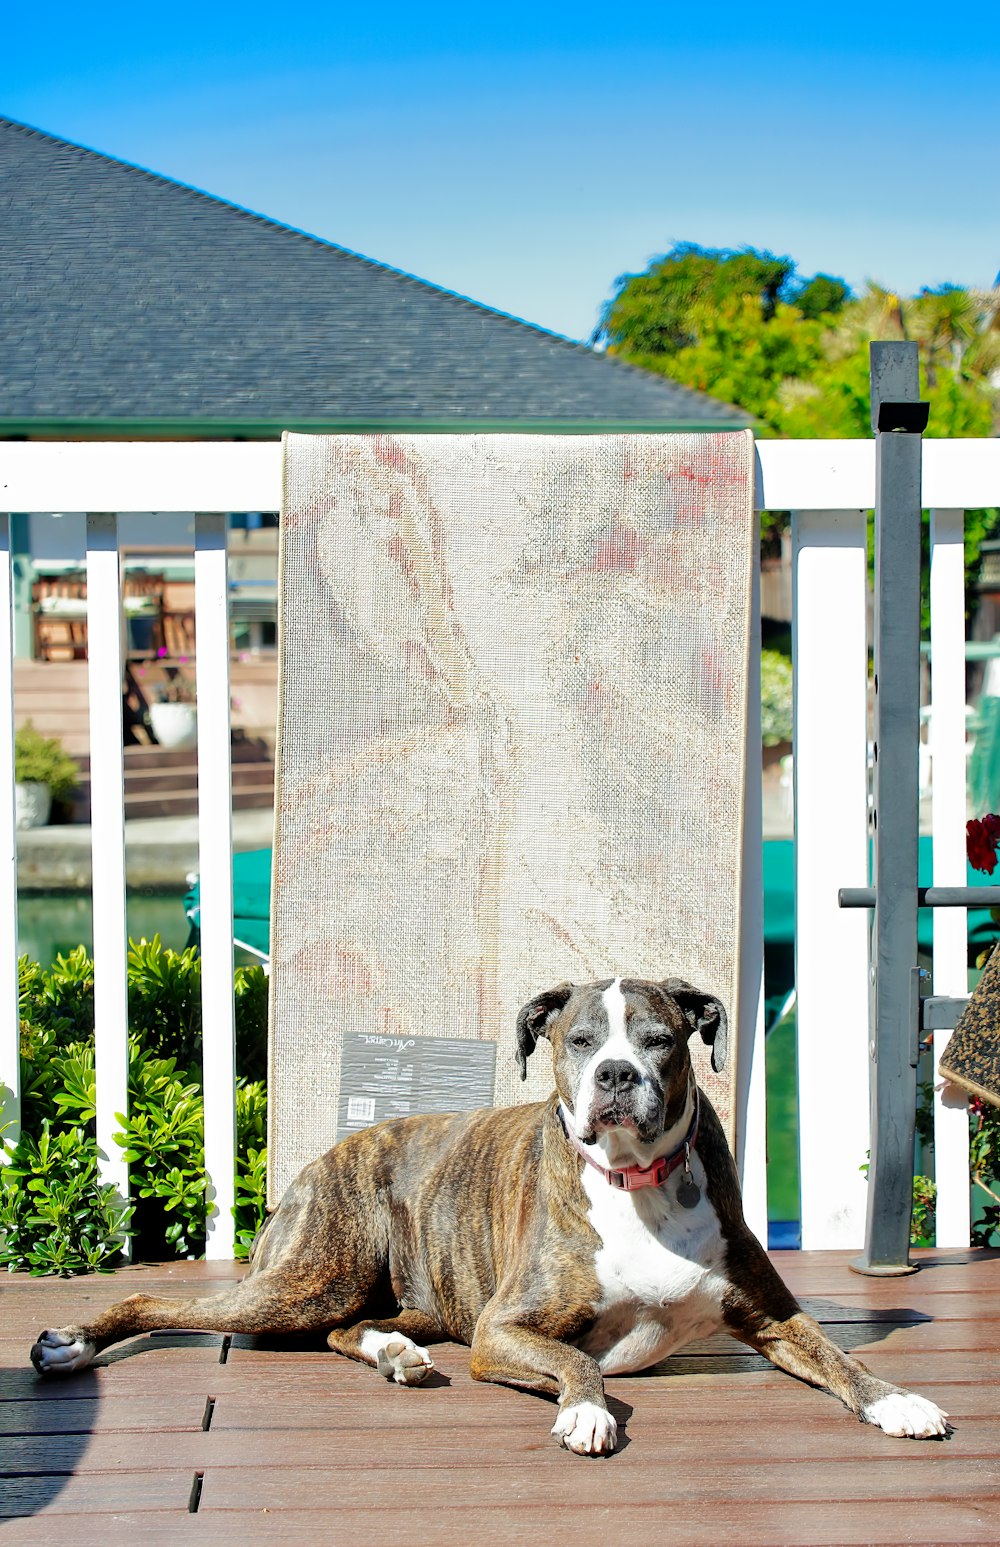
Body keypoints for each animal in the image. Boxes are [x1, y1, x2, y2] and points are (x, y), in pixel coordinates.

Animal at [31, 977, 953, 1447]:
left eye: (659, 1037)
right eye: (579, 1039)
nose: (617, 1072)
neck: (636, 1181)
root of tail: (316, 1162)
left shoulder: (773, 1316)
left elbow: (839, 1356)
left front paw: (896, 1399)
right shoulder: (503, 1329)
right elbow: (576, 1361)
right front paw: (585, 1408)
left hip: (399, 1298)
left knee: (351, 1328)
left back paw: (395, 1354)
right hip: (307, 1278)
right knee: (159, 1299)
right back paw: (69, 1341)